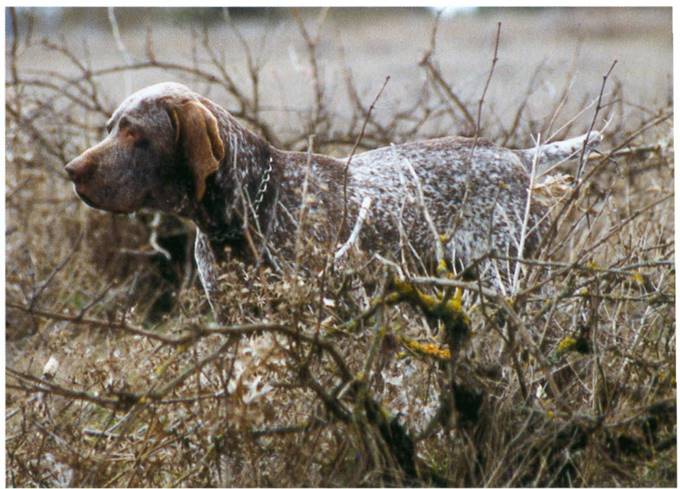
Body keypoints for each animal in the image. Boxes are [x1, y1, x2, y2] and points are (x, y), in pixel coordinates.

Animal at [66, 82, 600, 314]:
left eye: (134, 134)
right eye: (111, 127)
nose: (71, 171)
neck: (245, 214)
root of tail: (516, 157)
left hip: (507, 281)